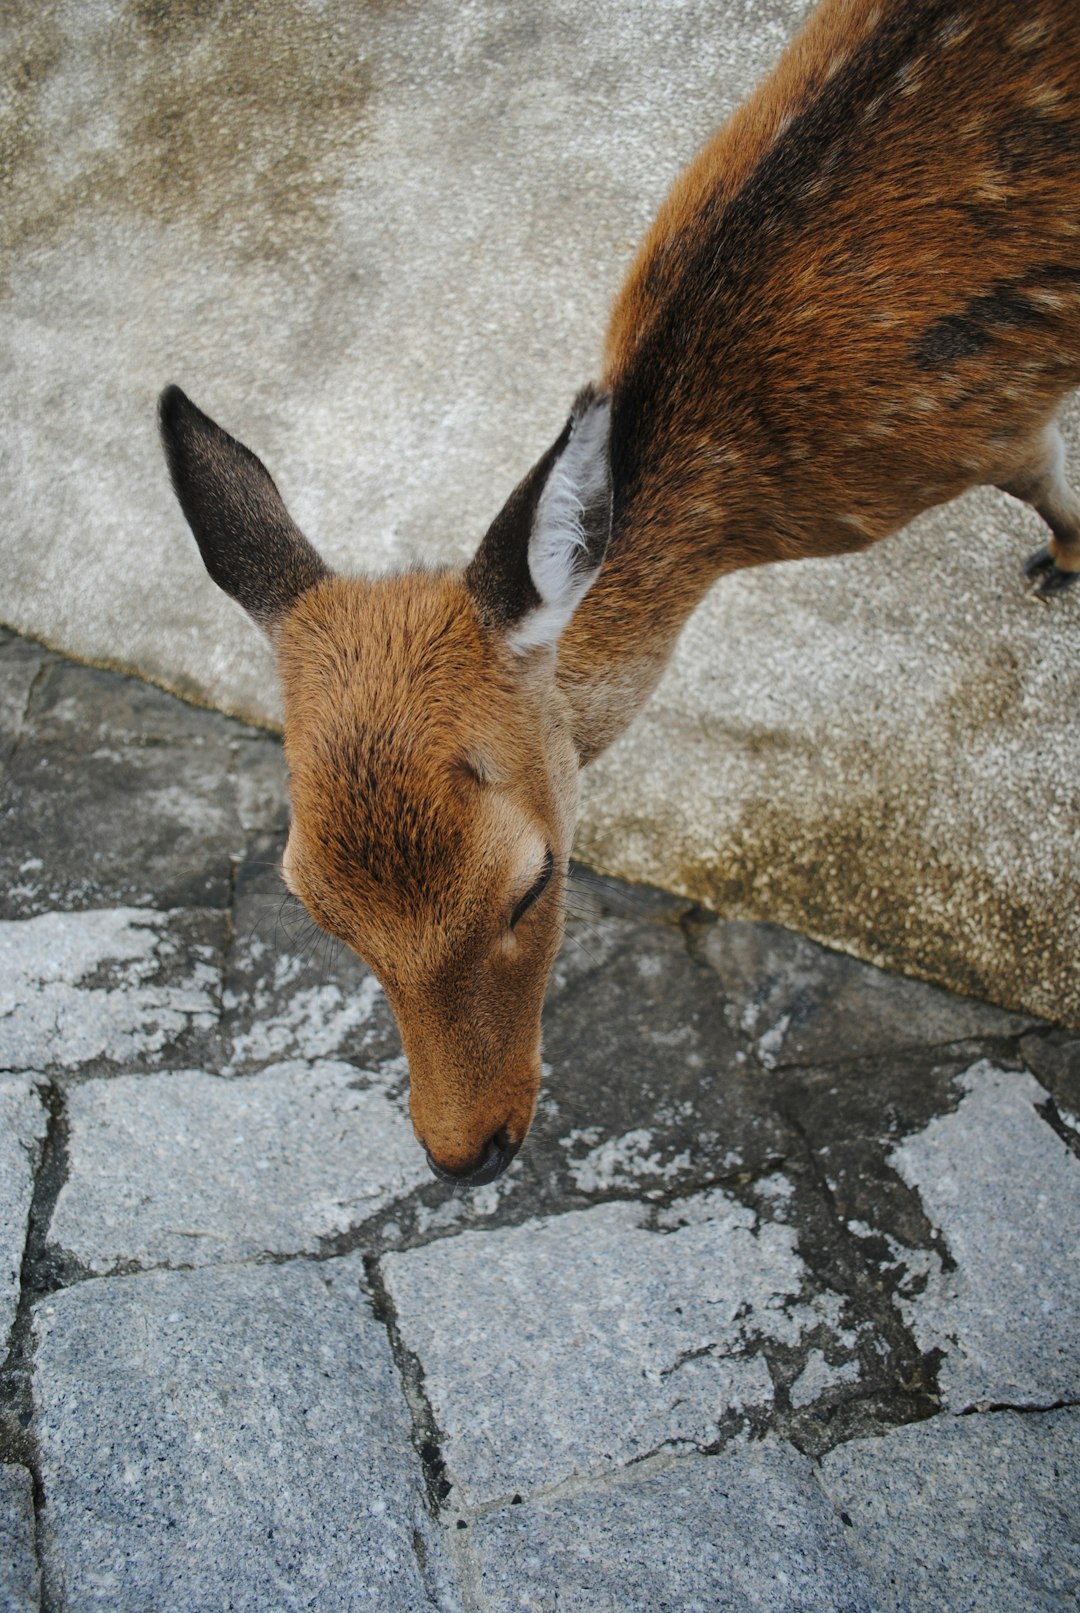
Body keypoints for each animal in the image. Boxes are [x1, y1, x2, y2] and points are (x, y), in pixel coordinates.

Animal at [161, 0, 1080, 1187]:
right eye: (314, 905)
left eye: (533, 881)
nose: (465, 1152)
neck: (767, 511)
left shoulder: (992, 418)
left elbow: (1046, 477)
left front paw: (1063, 556)